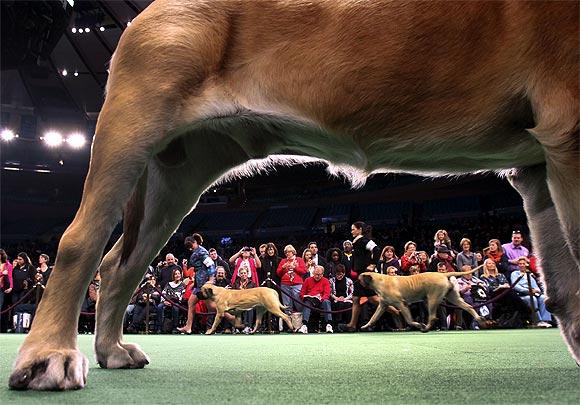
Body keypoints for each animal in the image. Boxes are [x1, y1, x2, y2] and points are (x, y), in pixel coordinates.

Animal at [360, 266, 488, 330]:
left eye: (360, 278)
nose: (357, 280)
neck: (379, 280)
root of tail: (443, 274)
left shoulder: (402, 304)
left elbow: (409, 320)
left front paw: (417, 325)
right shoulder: (382, 306)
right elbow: (373, 318)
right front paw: (366, 326)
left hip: (432, 299)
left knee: (432, 317)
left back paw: (425, 328)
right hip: (453, 298)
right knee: (469, 307)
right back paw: (480, 319)